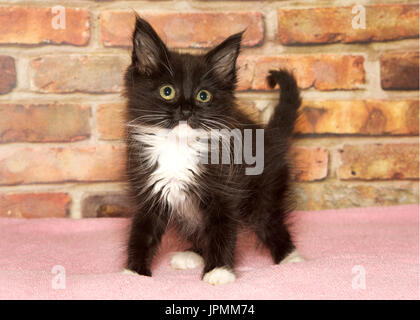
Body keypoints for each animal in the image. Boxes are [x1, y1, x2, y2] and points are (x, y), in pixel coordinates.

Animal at [123, 15, 304, 284]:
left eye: (203, 96)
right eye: (167, 92)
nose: (187, 110)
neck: (179, 148)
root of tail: (268, 135)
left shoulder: (225, 191)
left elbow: (222, 230)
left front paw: (219, 271)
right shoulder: (150, 189)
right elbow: (142, 232)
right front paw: (134, 273)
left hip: (263, 193)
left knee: (269, 221)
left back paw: (291, 258)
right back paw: (193, 254)